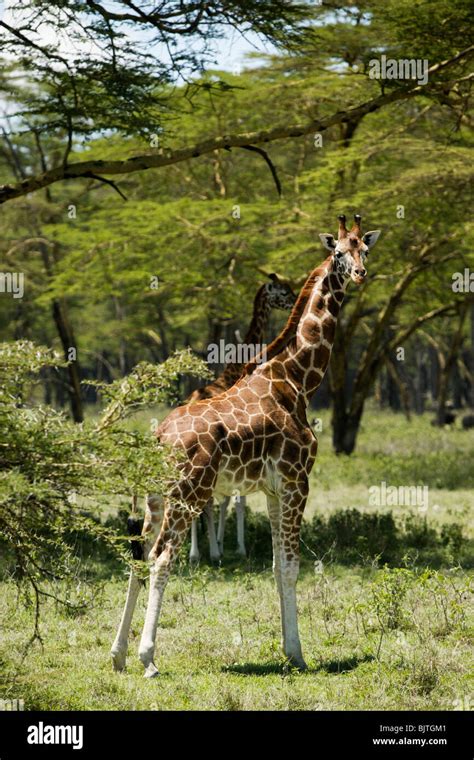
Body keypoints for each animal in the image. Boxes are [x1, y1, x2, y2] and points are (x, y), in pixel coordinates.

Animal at [186, 274, 296, 564]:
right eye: (283, 291)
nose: (294, 302)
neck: (234, 369)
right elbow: (237, 500)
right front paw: (235, 547)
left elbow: (226, 500)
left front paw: (223, 543)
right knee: (205, 502)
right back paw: (208, 553)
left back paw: (196, 552)